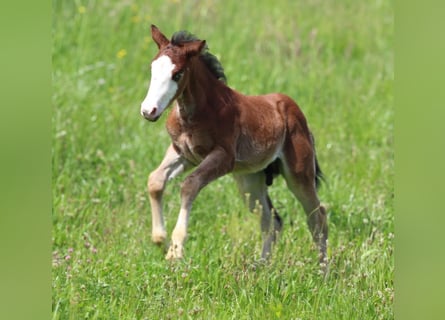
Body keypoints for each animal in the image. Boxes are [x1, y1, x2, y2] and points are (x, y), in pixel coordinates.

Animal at [140, 25, 328, 264]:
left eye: (178, 74)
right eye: (152, 68)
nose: (149, 111)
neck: (197, 113)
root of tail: (296, 112)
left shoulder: (223, 157)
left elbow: (189, 185)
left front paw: (176, 250)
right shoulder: (183, 153)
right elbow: (155, 180)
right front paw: (160, 239)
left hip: (299, 174)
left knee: (318, 218)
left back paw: (322, 270)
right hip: (250, 180)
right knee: (272, 220)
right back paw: (261, 266)